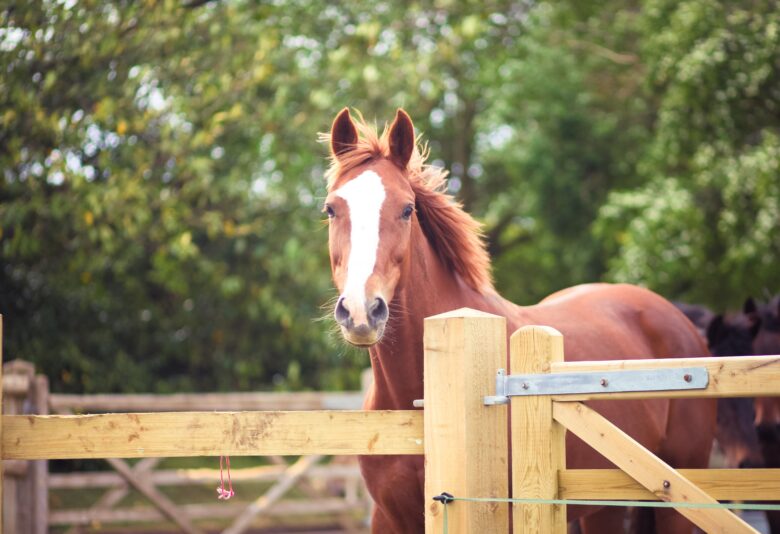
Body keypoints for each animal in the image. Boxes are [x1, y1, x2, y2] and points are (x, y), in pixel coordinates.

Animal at [320, 109, 716, 534]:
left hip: (681, 497)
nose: (361, 311)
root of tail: (677, 319)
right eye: (331, 209)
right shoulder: (388, 518)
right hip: (603, 504)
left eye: (407, 209)